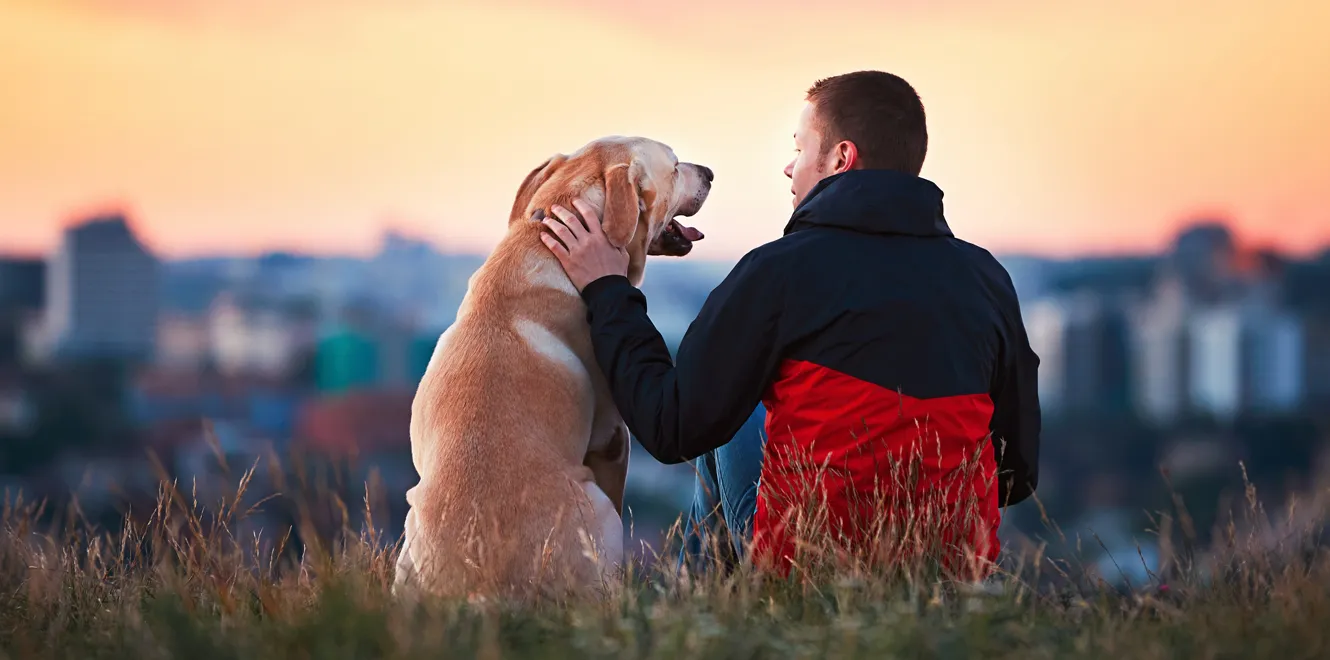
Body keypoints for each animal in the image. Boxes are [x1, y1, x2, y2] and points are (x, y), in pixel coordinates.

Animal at [391, 136, 712, 601]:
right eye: (673, 167)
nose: (710, 172)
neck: (542, 245)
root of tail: (481, 588)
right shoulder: (613, 438)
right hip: (598, 510)